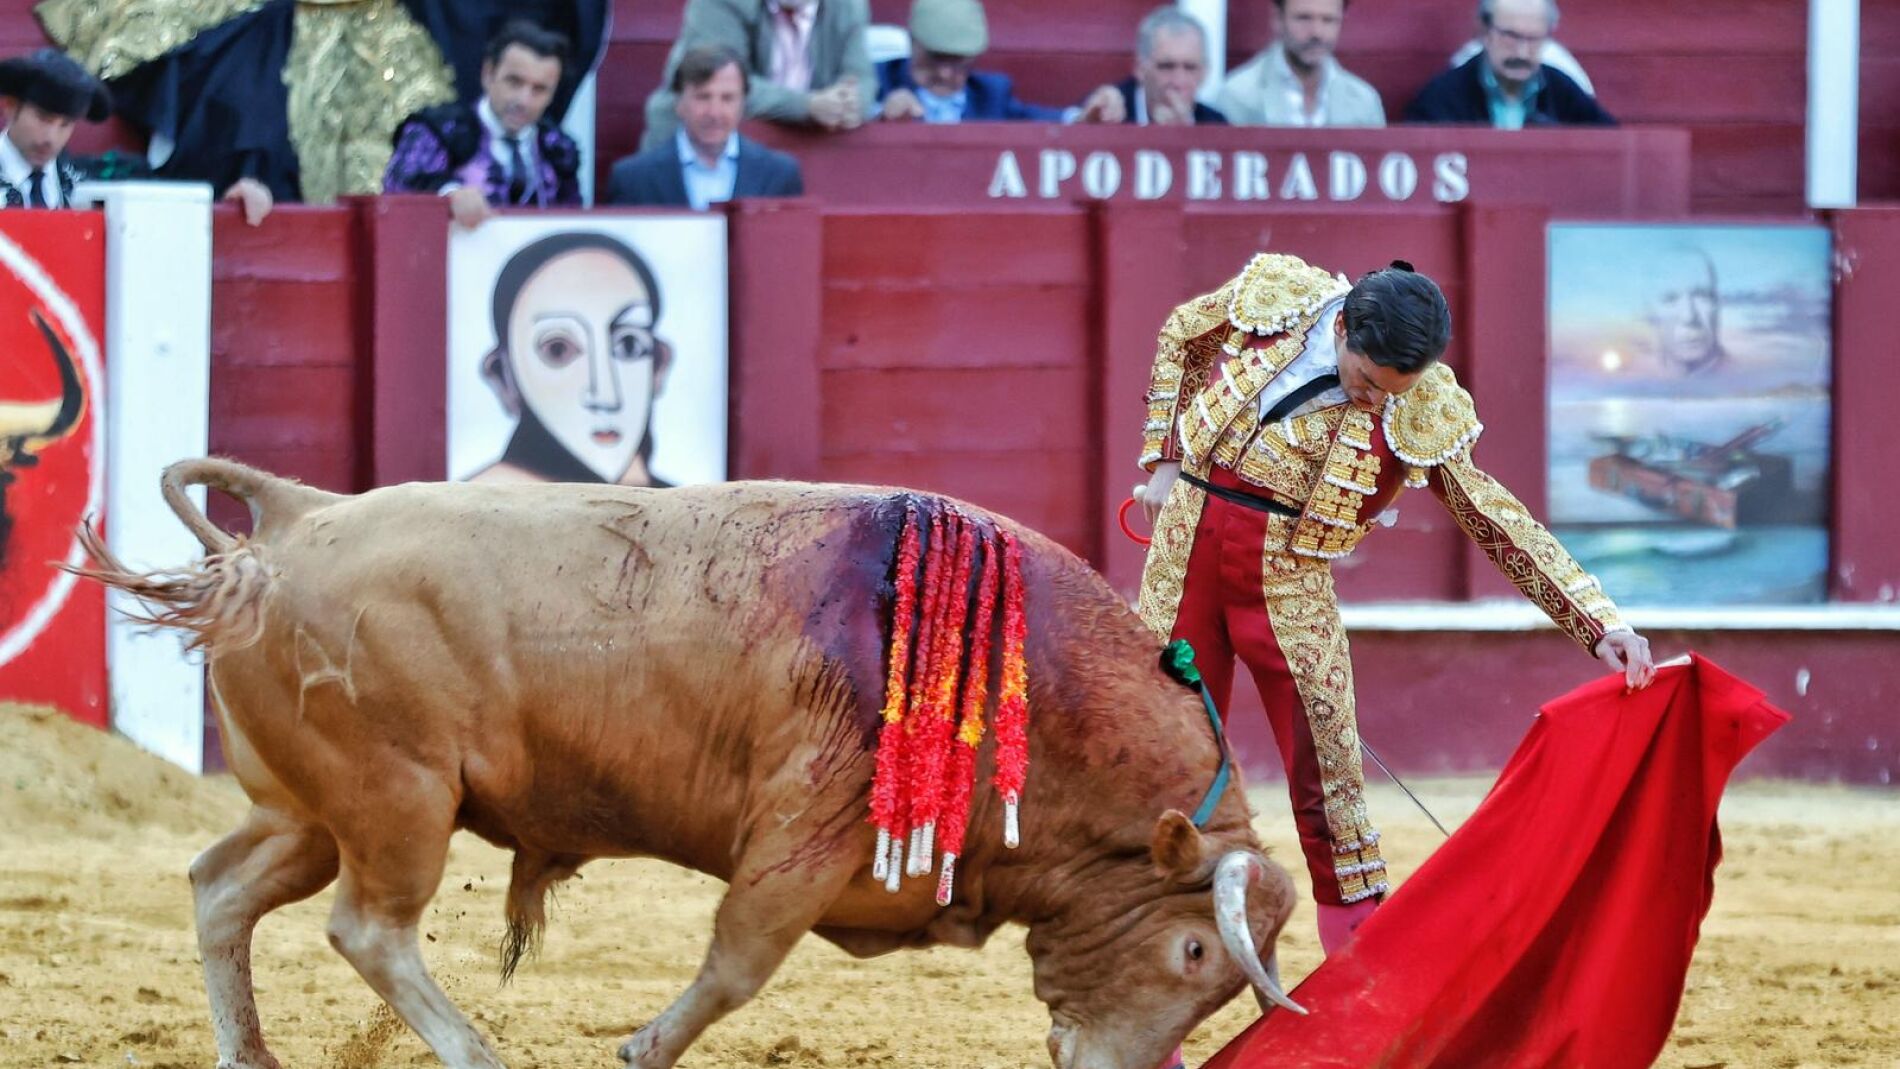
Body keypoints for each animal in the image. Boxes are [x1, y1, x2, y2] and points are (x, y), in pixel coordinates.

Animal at [76, 458, 1304, 1069]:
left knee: (221, 887)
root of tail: (290, 524)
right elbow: (737, 964)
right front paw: (637, 1049)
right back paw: (476, 1054)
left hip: (307, 812)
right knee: (368, 928)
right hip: (399, 801)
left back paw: (251, 1056)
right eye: (1196, 950)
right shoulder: (804, 831)